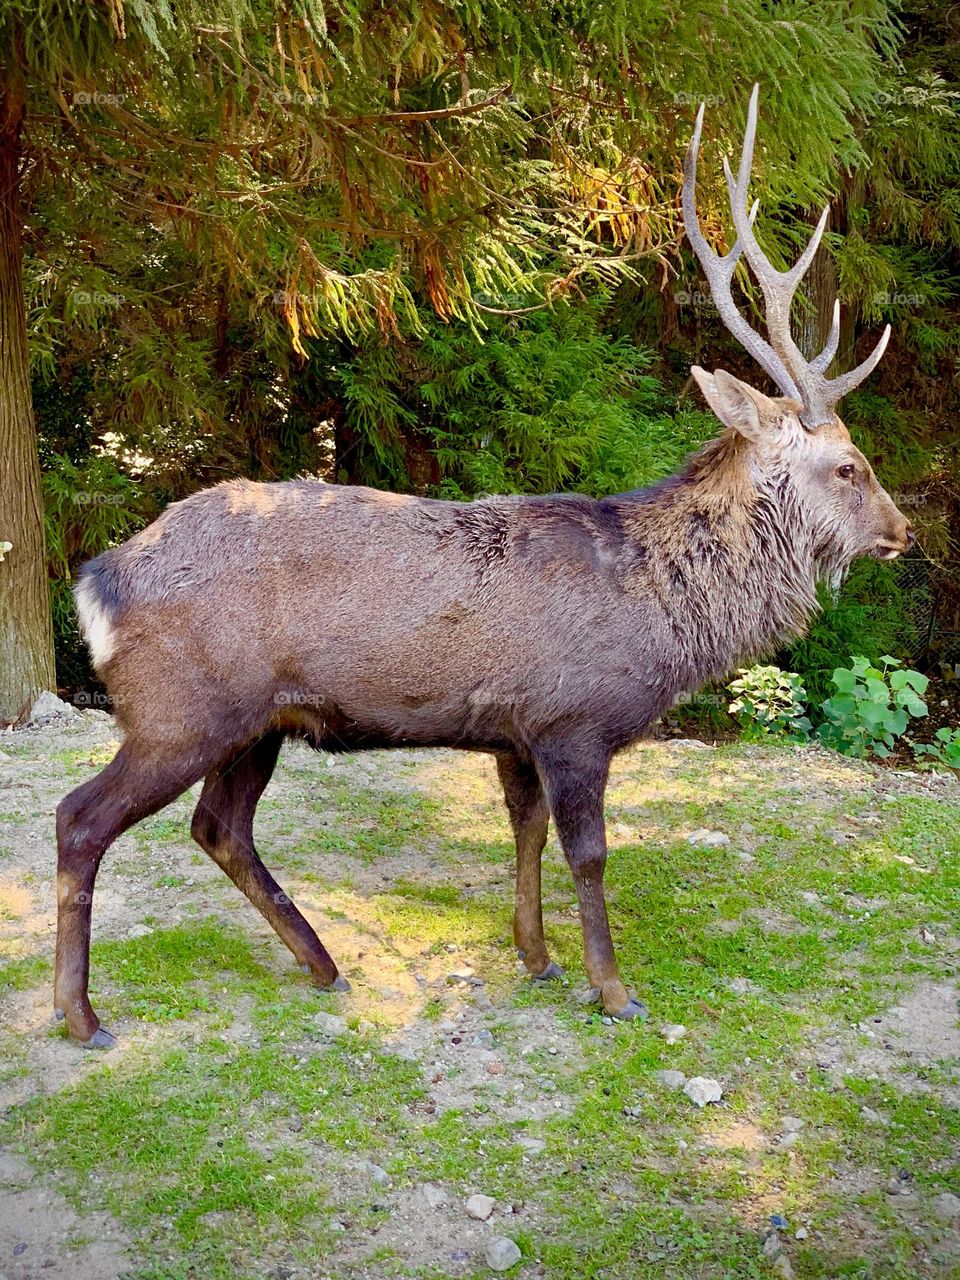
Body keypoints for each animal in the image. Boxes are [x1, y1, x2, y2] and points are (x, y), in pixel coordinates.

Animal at [55, 88, 913, 1047]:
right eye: (849, 467)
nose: (905, 530)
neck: (659, 616)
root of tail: (99, 580)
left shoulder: (516, 730)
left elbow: (524, 834)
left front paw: (535, 958)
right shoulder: (576, 718)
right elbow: (590, 854)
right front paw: (613, 989)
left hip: (256, 720)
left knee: (219, 829)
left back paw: (323, 965)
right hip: (180, 707)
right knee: (80, 817)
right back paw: (81, 1015)